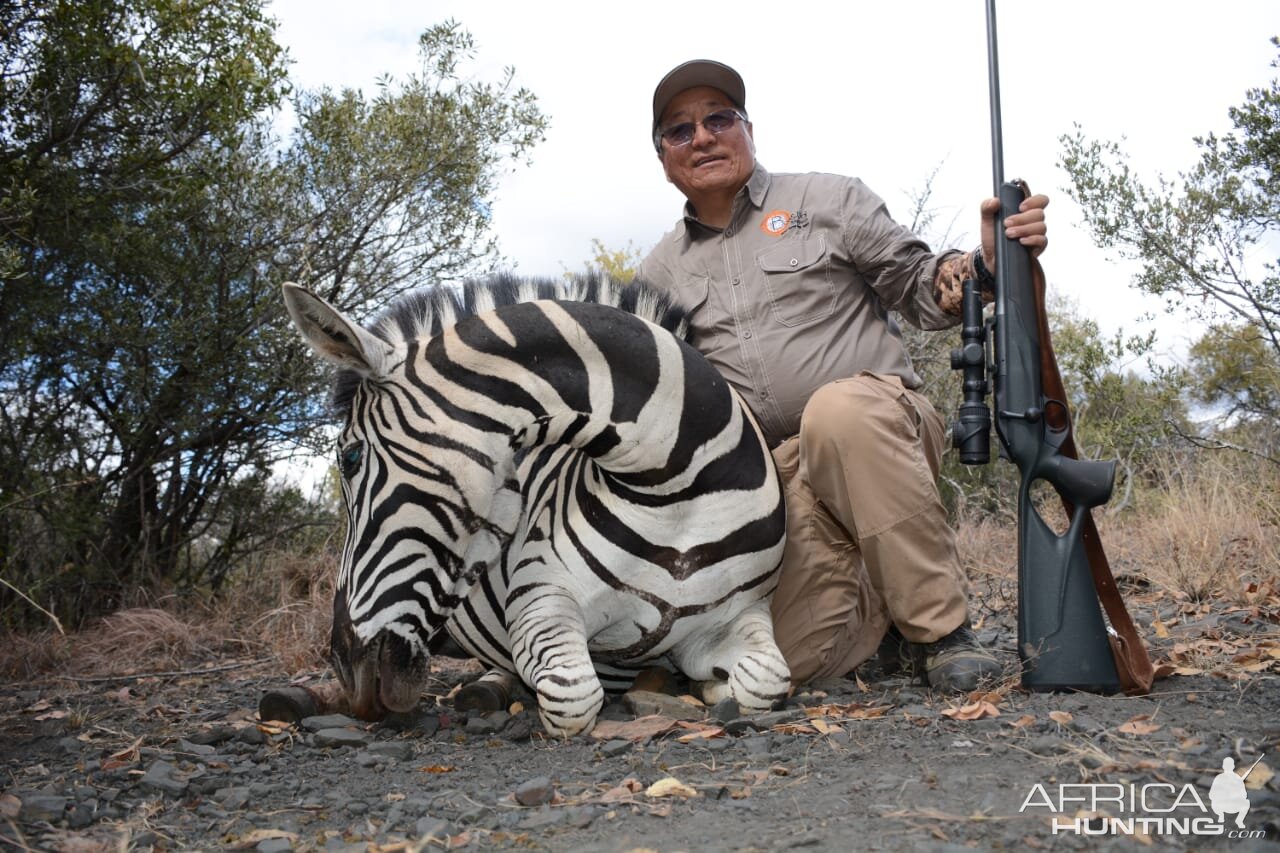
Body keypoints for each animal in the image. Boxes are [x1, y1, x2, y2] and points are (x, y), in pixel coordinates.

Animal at [282, 270, 788, 732]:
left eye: (350, 458)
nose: (346, 665)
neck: (674, 496)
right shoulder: (540, 598)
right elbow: (573, 694)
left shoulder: (742, 612)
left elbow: (767, 680)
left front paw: (713, 686)